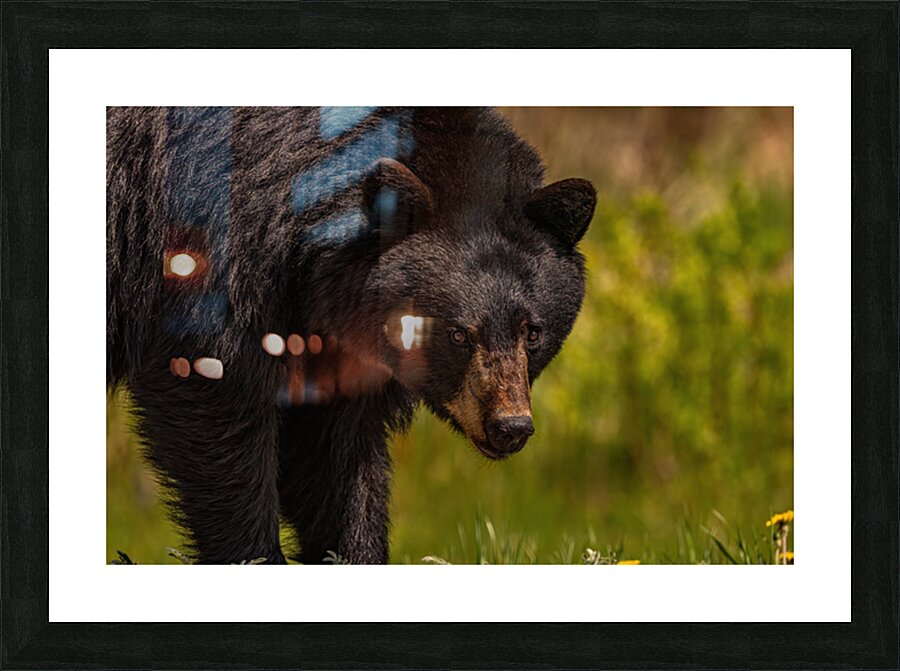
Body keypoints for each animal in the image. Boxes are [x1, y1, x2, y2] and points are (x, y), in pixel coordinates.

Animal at [107, 107, 596, 564]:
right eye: (457, 334)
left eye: (532, 332)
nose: (510, 426)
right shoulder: (212, 252)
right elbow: (216, 398)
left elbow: (336, 456)